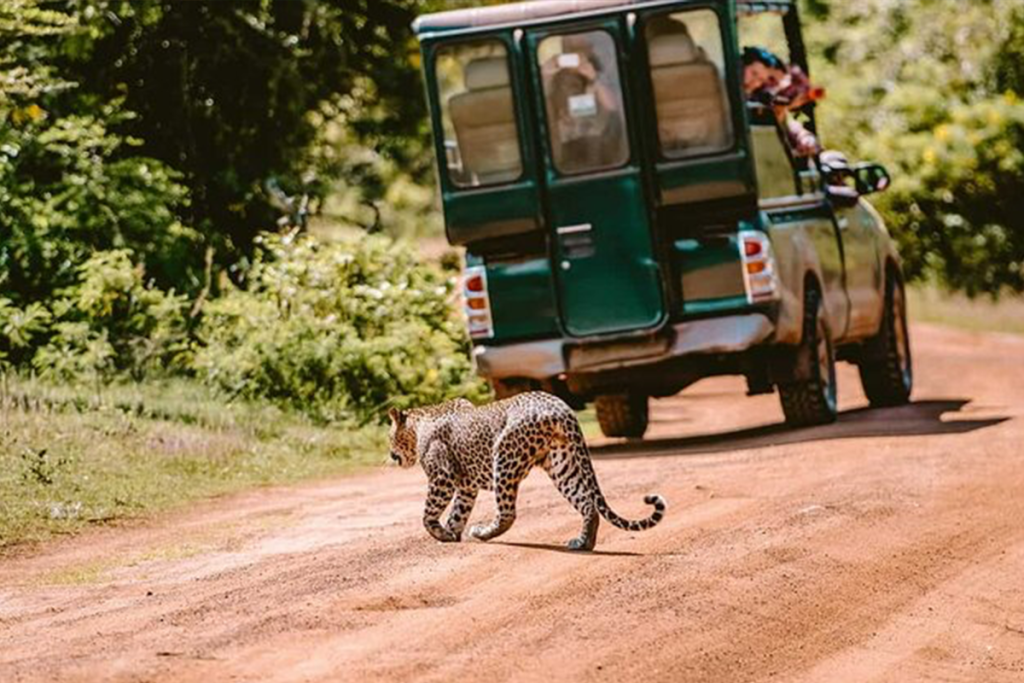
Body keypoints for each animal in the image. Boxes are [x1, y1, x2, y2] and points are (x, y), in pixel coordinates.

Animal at [387, 389, 667, 548]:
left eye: (390, 437)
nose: (390, 454)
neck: (419, 423)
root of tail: (560, 406)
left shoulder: (442, 478)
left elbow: (428, 513)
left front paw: (440, 533)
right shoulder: (466, 486)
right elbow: (458, 511)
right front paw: (451, 533)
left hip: (505, 456)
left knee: (507, 513)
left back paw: (483, 532)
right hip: (562, 463)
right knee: (587, 502)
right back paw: (583, 543)